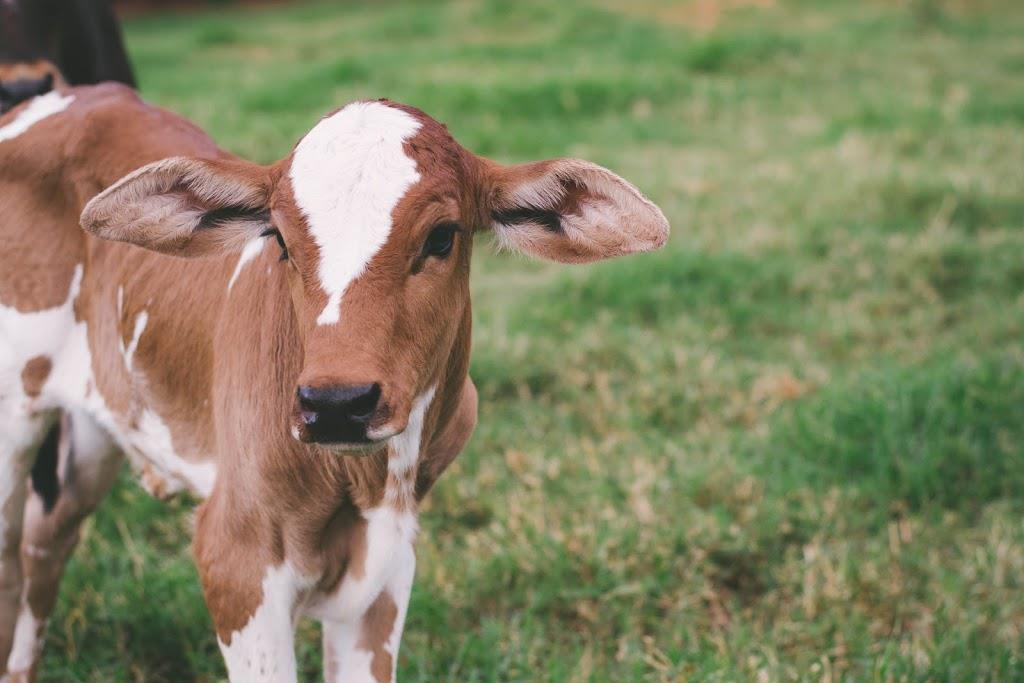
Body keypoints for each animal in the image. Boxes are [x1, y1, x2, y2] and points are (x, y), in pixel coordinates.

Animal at [0, 82, 671, 679]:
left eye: (442, 236)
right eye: (281, 241)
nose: (338, 403)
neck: (364, 483)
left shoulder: (385, 569)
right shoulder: (237, 560)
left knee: (45, 542)